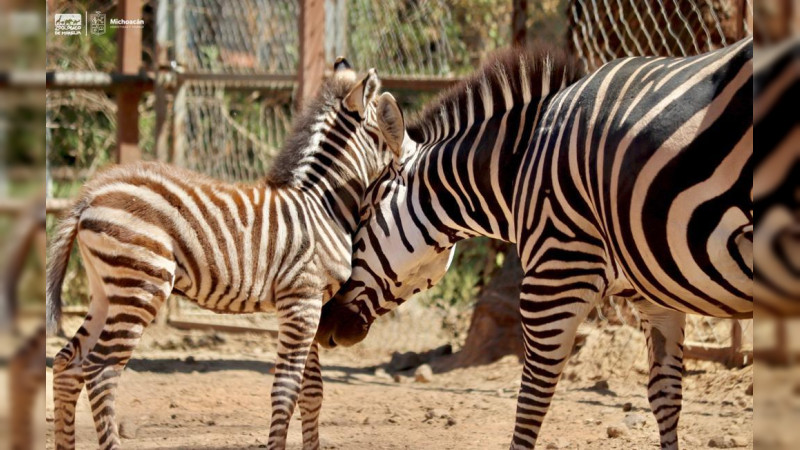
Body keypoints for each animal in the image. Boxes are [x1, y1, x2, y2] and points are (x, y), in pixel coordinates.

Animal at [46, 59, 406, 450]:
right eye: (387, 120)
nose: (410, 151)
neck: (323, 205)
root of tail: (90, 194)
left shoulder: (310, 302)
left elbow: (311, 392)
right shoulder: (302, 300)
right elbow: (286, 390)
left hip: (106, 290)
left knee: (67, 363)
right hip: (141, 286)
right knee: (100, 371)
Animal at [316, 39, 753, 449]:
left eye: (363, 214)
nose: (322, 327)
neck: (520, 166)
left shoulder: (554, 278)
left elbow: (530, 402)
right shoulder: (653, 295)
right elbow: (665, 395)